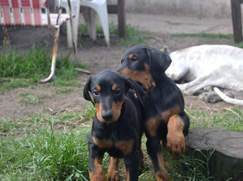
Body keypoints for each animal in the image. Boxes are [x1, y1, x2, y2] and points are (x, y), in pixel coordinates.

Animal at [108, 44, 190, 180]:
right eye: (121, 61)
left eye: (134, 59)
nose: (113, 78)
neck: (155, 95)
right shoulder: (152, 139)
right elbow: (159, 169)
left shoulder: (184, 117)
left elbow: (175, 118)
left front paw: (175, 141)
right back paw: (112, 172)